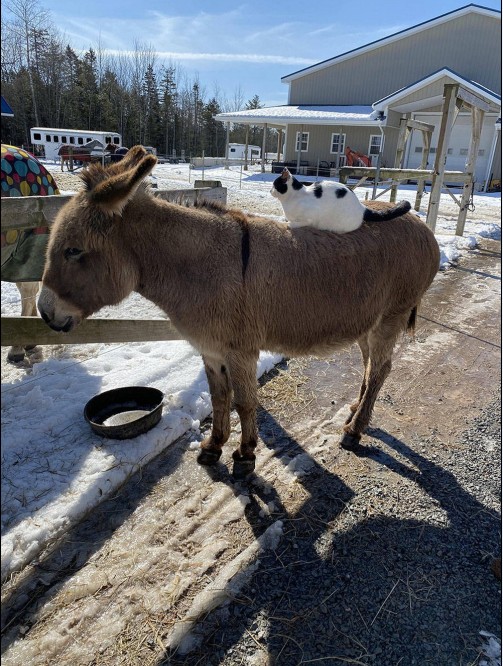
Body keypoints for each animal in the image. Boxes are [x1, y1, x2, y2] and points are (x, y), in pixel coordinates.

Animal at [274, 167, 412, 232]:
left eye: (275, 185)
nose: (271, 190)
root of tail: (361, 207)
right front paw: (283, 219)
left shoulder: (310, 218)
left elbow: (297, 223)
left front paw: (289, 224)